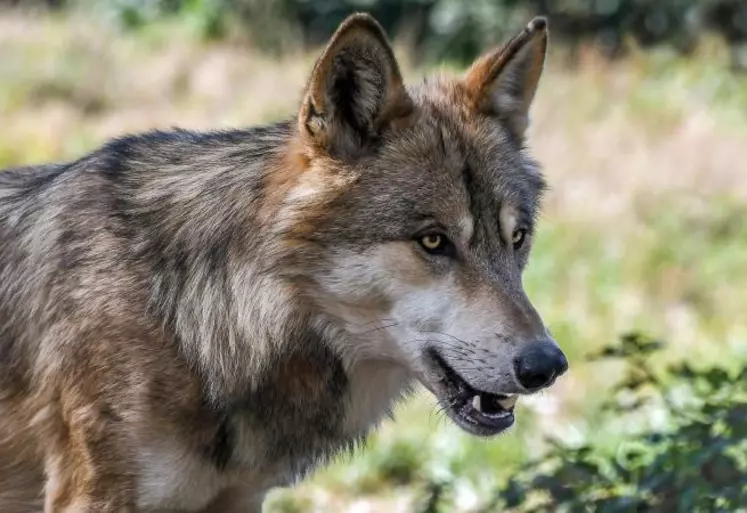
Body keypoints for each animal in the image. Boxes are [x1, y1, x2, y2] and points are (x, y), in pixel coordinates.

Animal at [0, 12, 568, 512]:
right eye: (433, 241)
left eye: (517, 238)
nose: (547, 365)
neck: (193, 321)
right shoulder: (92, 497)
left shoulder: (241, 500)